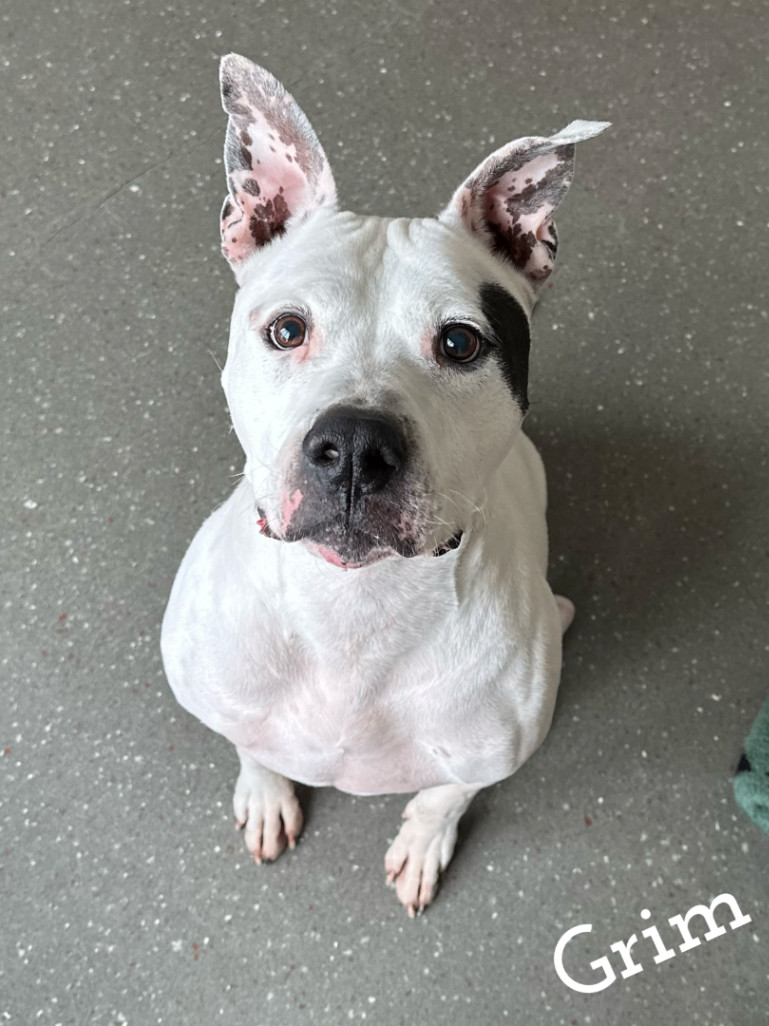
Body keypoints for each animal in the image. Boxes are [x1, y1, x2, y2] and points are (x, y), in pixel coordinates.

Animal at [160, 52, 606, 919]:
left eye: (461, 343)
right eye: (287, 330)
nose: (356, 448)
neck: (353, 616)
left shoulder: (486, 753)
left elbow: (447, 794)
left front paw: (424, 843)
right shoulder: (220, 694)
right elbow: (248, 743)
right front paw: (264, 793)